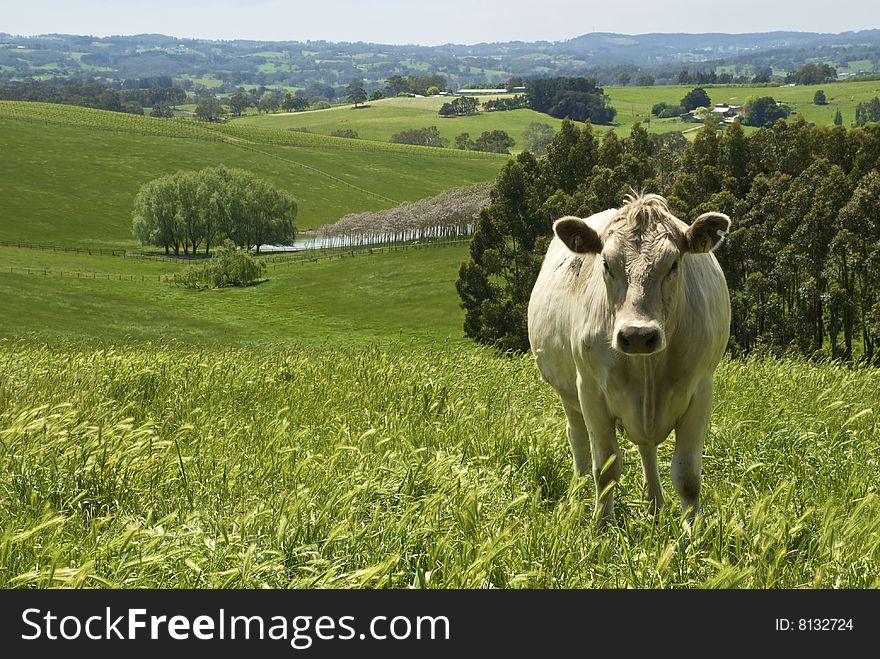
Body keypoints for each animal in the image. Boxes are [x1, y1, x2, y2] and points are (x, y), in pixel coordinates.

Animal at [528, 193, 728, 524]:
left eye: (673, 263)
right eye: (606, 264)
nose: (637, 335)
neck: (648, 367)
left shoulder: (701, 390)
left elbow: (688, 476)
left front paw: (693, 531)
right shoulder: (590, 391)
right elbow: (606, 469)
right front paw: (602, 525)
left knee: (646, 447)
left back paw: (654, 505)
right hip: (568, 394)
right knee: (578, 440)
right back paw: (576, 497)